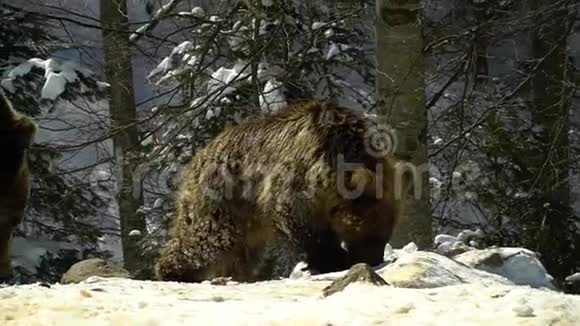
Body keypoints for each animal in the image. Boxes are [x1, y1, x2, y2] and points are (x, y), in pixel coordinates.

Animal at [153, 100, 408, 282]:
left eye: (387, 232)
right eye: (369, 232)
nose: (374, 260)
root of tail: (202, 152)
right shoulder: (298, 183)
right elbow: (305, 229)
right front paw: (331, 260)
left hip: (248, 215)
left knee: (242, 251)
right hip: (224, 196)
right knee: (207, 237)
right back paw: (173, 272)